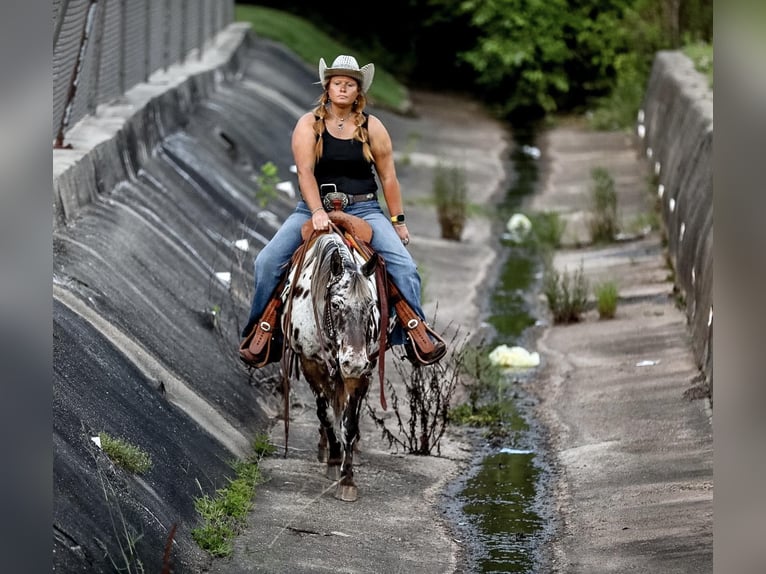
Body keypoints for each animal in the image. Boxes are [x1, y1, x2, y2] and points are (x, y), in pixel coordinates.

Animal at [280, 225, 388, 504]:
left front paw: (347, 479)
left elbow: (349, 423)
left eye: (371, 305)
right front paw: (334, 459)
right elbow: (326, 413)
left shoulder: (359, 373)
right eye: (336, 304)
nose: (354, 361)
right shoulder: (311, 363)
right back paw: (326, 448)